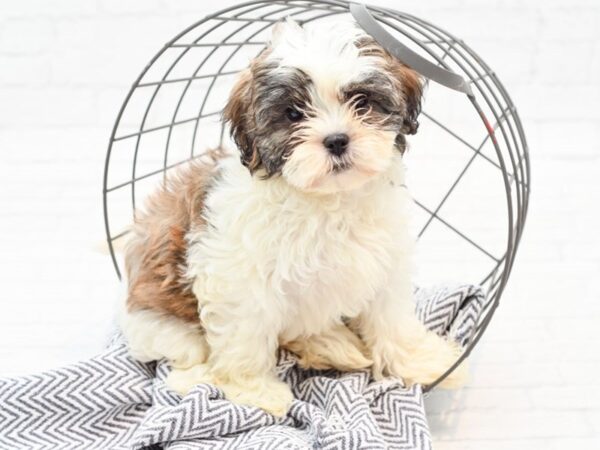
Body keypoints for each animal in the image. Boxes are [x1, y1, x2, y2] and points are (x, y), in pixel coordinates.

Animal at [119, 19, 466, 416]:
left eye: (362, 102)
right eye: (294, 114)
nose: (336, 140)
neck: (327, 200)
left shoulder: (384, 260)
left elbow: (392, 317)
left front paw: (419, 361)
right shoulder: (238, 278)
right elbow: (245, 336)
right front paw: (253, 389)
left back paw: (329, 344)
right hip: (160, 322)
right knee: (186, 354)